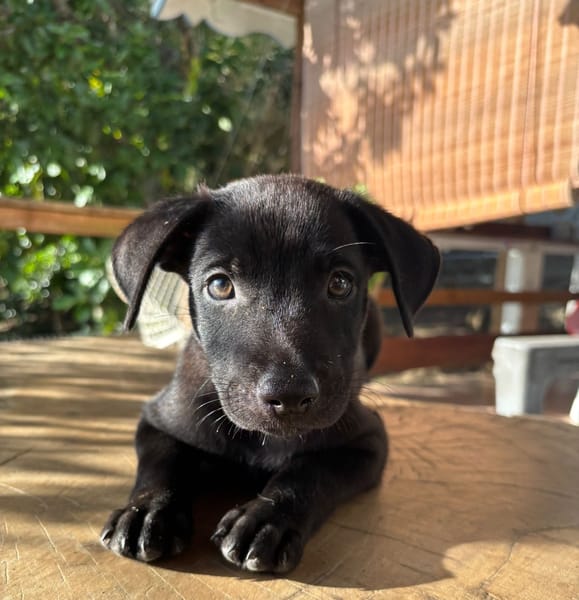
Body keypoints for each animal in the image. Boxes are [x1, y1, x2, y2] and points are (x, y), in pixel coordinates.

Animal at [100, 174, 440, 573]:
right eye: (220, 285)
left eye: (340, 284)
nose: (289, 396)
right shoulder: (160, 418)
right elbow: (161, 462)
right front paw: (148, 510)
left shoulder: (367, 440)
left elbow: (310, 469)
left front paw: (267, 519)